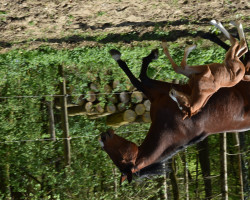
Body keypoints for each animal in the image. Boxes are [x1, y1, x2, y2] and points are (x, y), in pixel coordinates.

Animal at [99, 32, 250, 184]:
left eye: (121, 159)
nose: (103, 136)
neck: (176, 127)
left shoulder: (159, 89)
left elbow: (138, 78)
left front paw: (128, 55)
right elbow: (139, 78)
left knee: (239, 52)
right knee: (240, 54)